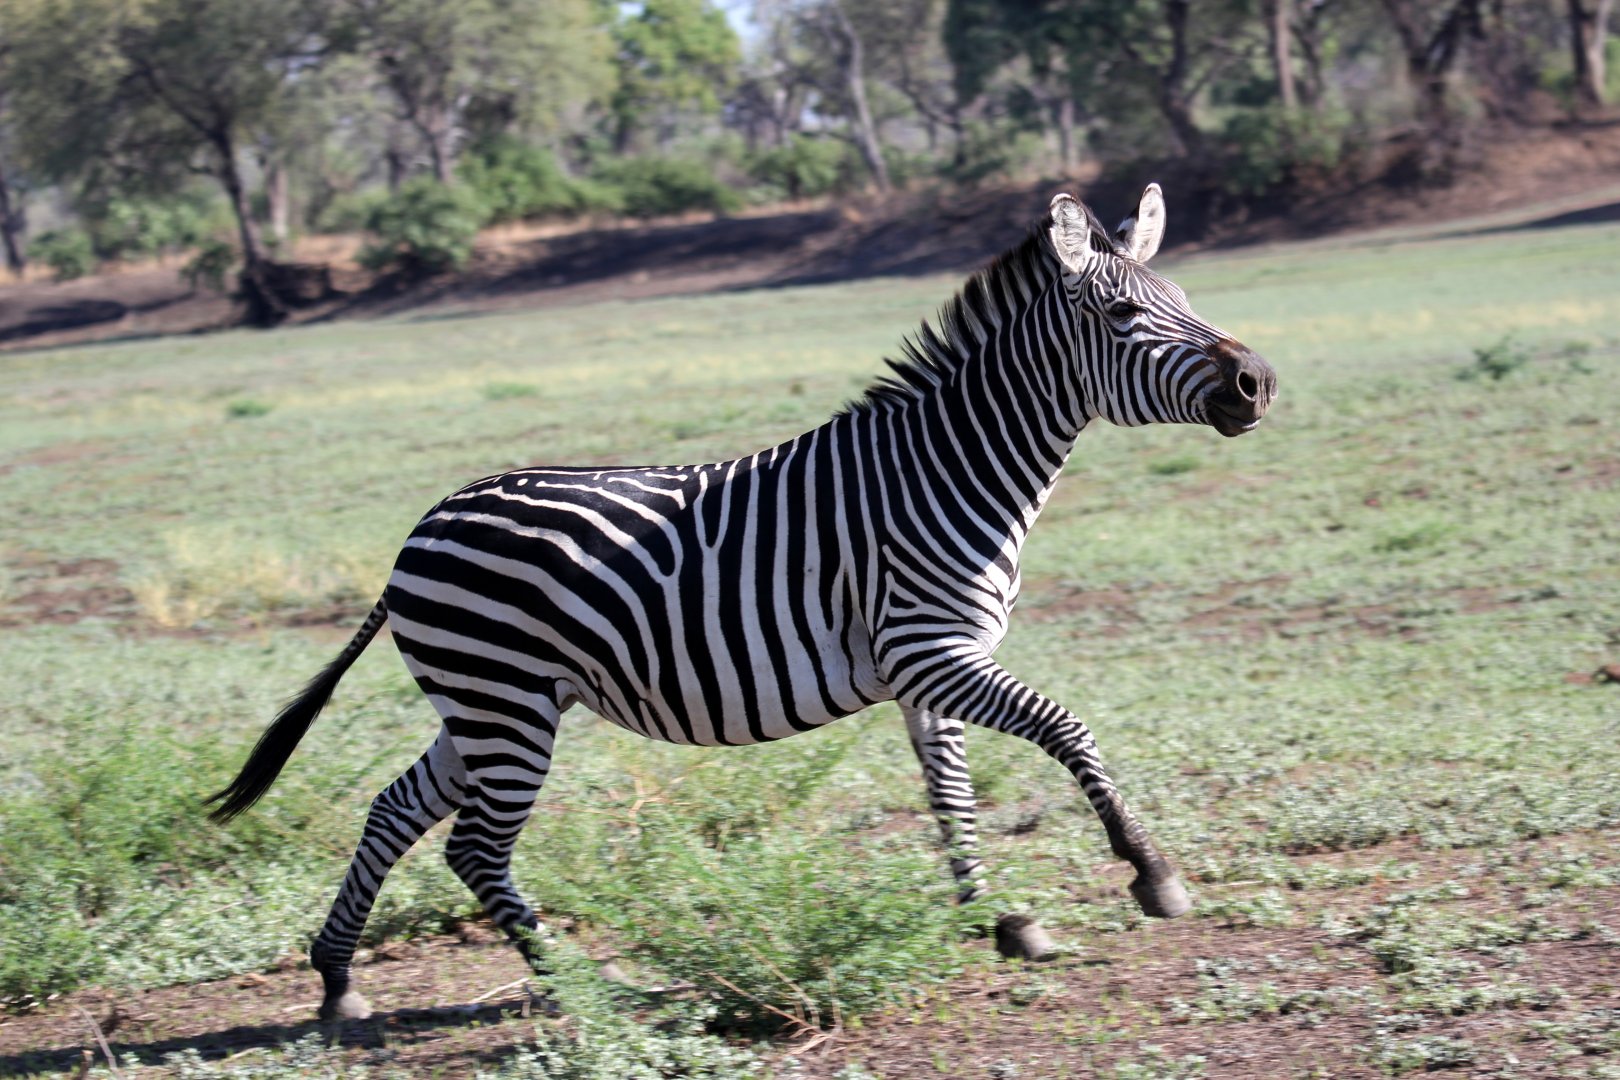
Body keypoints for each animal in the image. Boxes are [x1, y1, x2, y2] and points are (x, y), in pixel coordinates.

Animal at [208, 183, 1276, 1021]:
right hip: (506, 706)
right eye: (1125, 318)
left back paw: (339, 979)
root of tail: (423, 524)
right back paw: (580, 986)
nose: (1257, 381)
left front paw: (996, 918)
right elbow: (1067, 729)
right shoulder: (931, 649)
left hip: (485, 704)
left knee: (396, 811)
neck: (949, 470)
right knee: (473, 849)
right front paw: (1151, 873)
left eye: (1186, 300)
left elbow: (950, 794)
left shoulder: (926, 667)